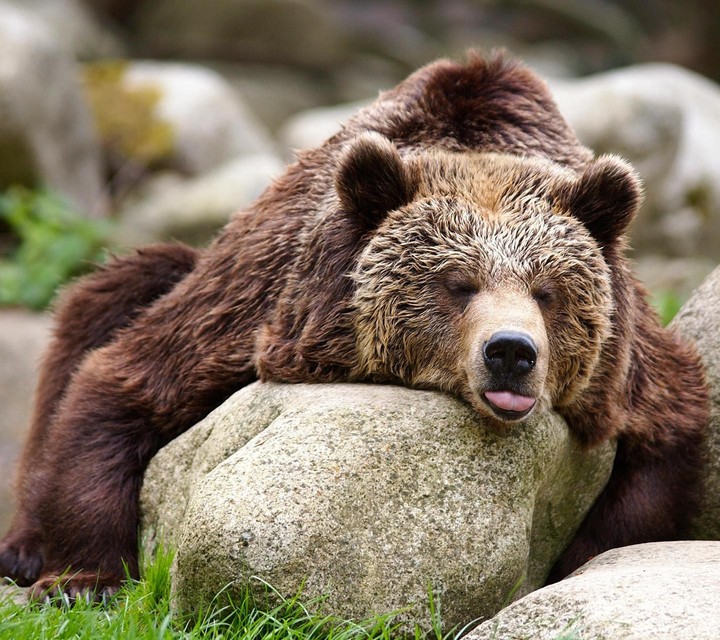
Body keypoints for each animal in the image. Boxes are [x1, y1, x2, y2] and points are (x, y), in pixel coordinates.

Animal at [0, 51, 709, 600]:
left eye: (547, 291)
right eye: (458, 284)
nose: (511, 352)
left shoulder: (624, 367)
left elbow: (661, 445)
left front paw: (571, 561)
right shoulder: (261, 308)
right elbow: (123, 381)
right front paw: (80, 579)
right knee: (110, 297)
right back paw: (23, 549)